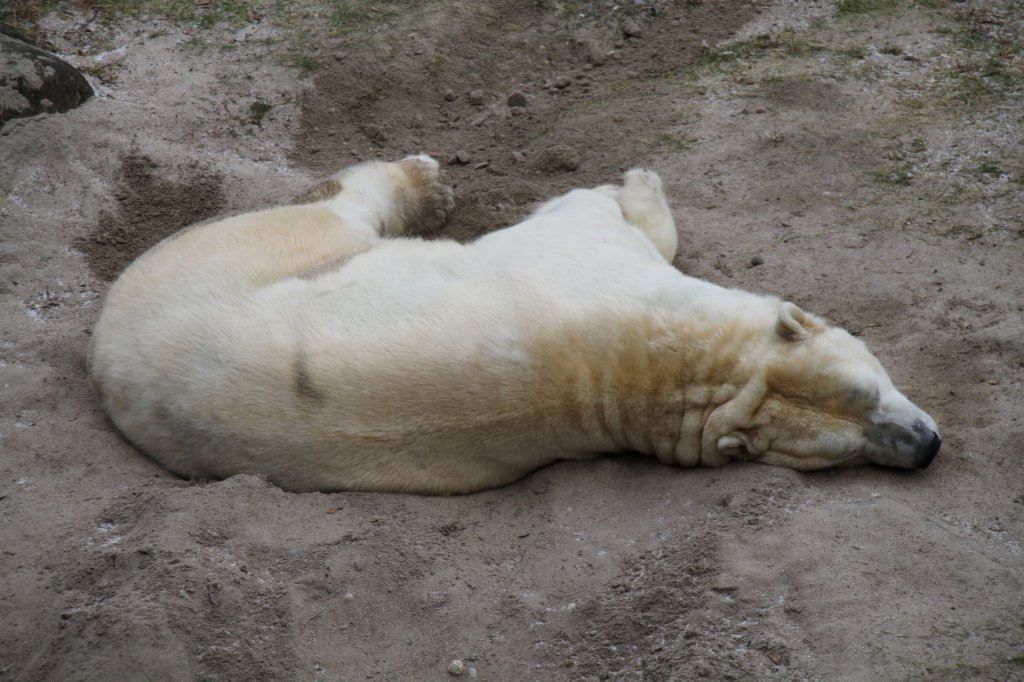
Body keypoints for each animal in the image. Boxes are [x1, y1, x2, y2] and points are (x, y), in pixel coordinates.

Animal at [88, 154, 937, 491]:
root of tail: (105, 352)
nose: (925, 446)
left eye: (857, 442)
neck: (662, 363)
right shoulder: (587, 260)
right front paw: (641, 183)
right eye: (865, 398)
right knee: (335, 213)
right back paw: (423, 182)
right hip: (243, 254)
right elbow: (594, 212)